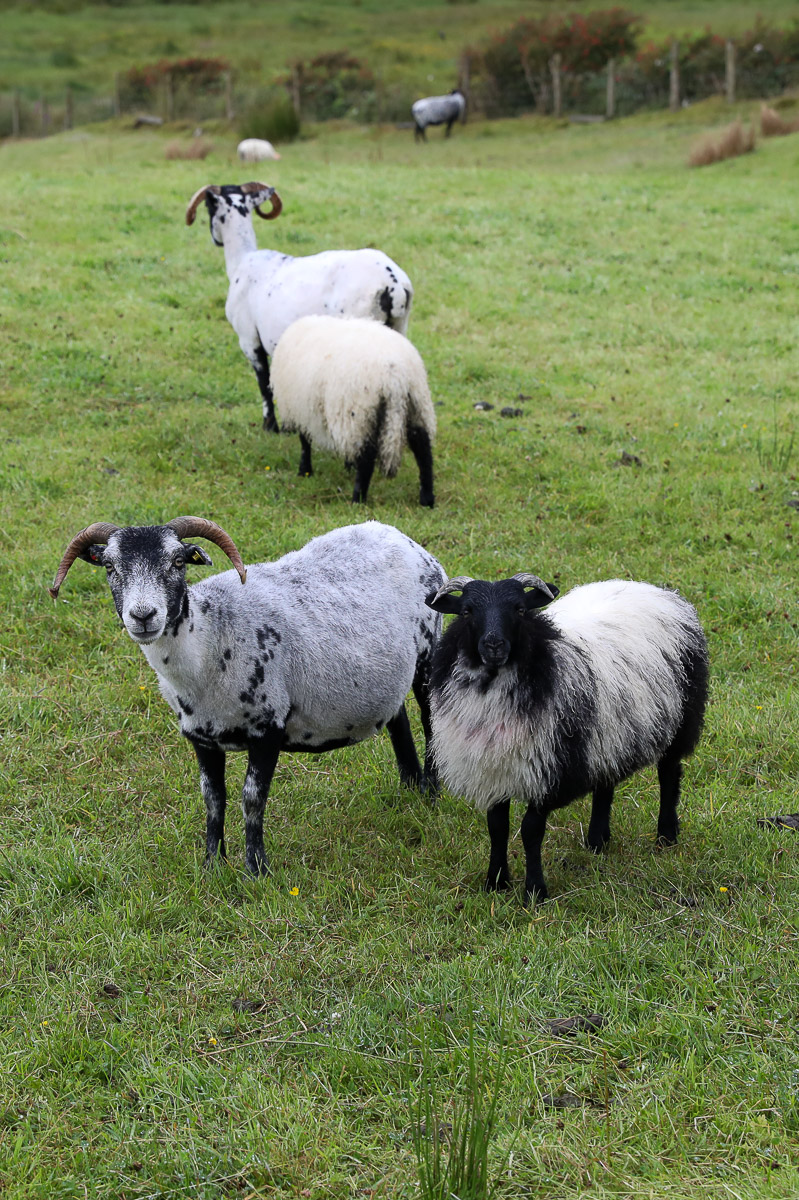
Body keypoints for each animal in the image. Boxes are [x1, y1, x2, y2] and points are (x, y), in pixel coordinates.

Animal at [49, 517, 445, 876]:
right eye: (110, 566)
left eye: (177, 562)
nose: (143, 616)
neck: (210, 638)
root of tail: (404, 539)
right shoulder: (201, 737)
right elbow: (213, 799)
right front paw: (212, 866)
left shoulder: (268, 728)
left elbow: (252, 799)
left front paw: (256, 869)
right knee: (398, 719)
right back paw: (410, 787)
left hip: (428, 650)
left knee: (430, 721)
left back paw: (433, 794)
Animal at [185, 182, 413, 434]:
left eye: (208, 208)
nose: (215, 240)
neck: (242, 260)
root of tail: (393, 283)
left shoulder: (249, 339)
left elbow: (264, 383)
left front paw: (270, 426)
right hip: (399, 328)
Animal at [270, 315, 436, 507]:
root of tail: (394, 374)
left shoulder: (301, 409)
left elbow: (305, 442)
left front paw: (304, 471)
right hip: (416, 404)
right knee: (423, 450)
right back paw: (427, 499)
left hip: (357, 412)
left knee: (366, 457)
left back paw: (358, 499)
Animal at [425, 573, 709, 904]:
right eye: (467, 611)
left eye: (520, 609)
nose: (494, 645)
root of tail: (654, 590)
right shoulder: (494, 767)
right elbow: (497, 826)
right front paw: (495, 882)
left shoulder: (550, 767)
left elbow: (530, 830)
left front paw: (534, 891)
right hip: (607, 732)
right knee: (605, 782)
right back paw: (597, 841)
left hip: (681, 717)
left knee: (669, 774)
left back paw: (666, 835)